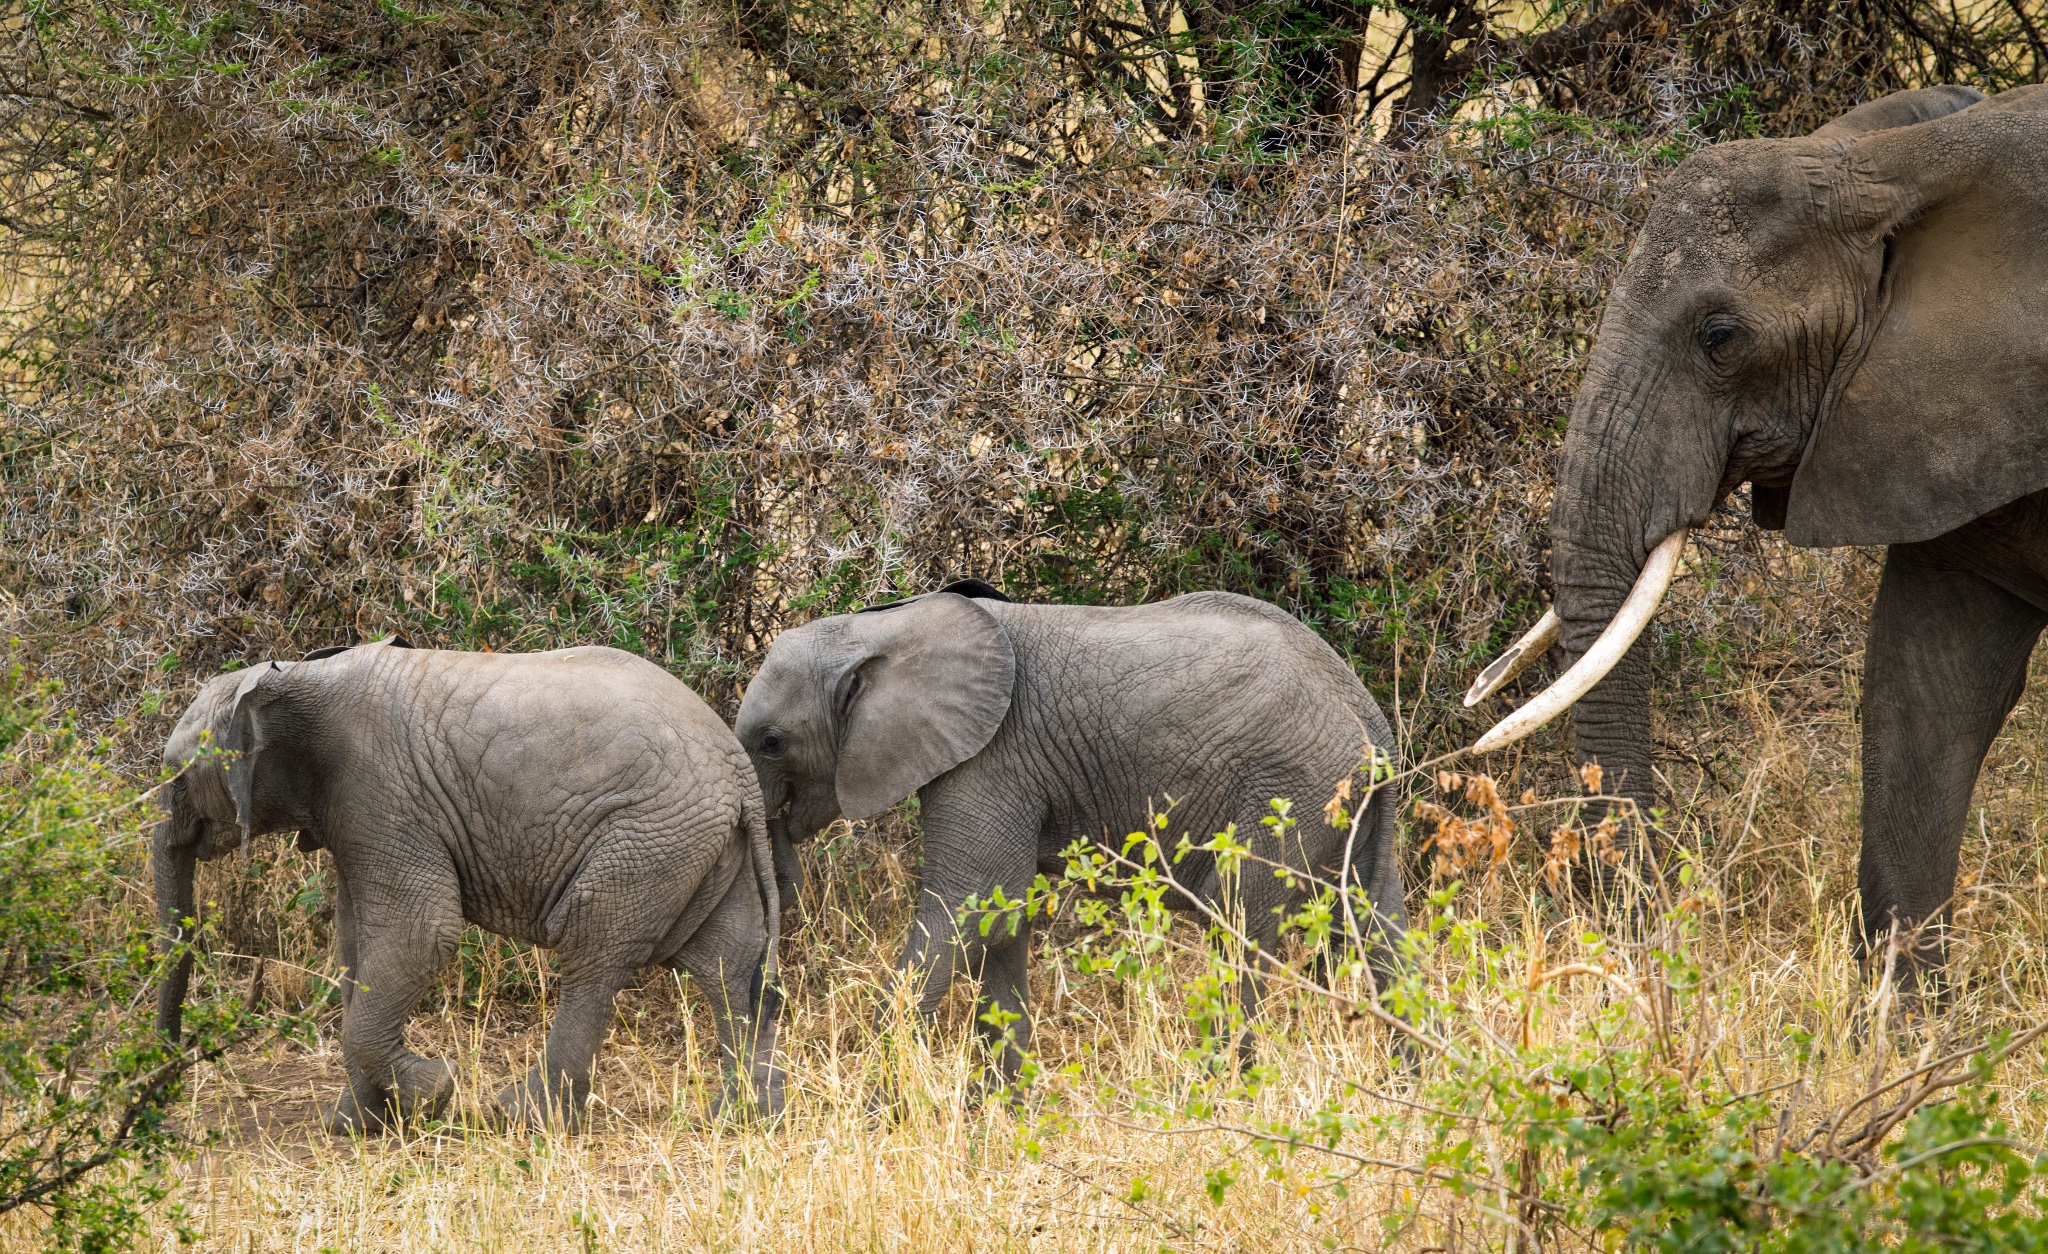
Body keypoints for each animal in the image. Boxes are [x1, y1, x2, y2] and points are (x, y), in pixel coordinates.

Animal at [153, 643, 782, 1131]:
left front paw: (437, 1090)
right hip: (698, 844)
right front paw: (355, 1125)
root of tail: (737, 768)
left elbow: (420, 933)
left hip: (650, 836)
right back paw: (743, 1116)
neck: (290, 680)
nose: (168, 1105)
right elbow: (356, 949)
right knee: (727, 965)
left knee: (592, 951)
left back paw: (521, 1117)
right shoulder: (355, 814)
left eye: (178, 779)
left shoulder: (379, 793)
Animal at [741, 581, 1409, 1081]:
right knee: (1380, 924)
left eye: (772, 742)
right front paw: (1004, 1110)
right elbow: (1002, 915)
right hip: (1341, 805)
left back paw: (1219, 1090)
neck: (887, 627)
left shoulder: (992, 758)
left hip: (1288, 790)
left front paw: (874, 1100)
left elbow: (968, 903)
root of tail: (1370, 719)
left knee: (1235, 917)